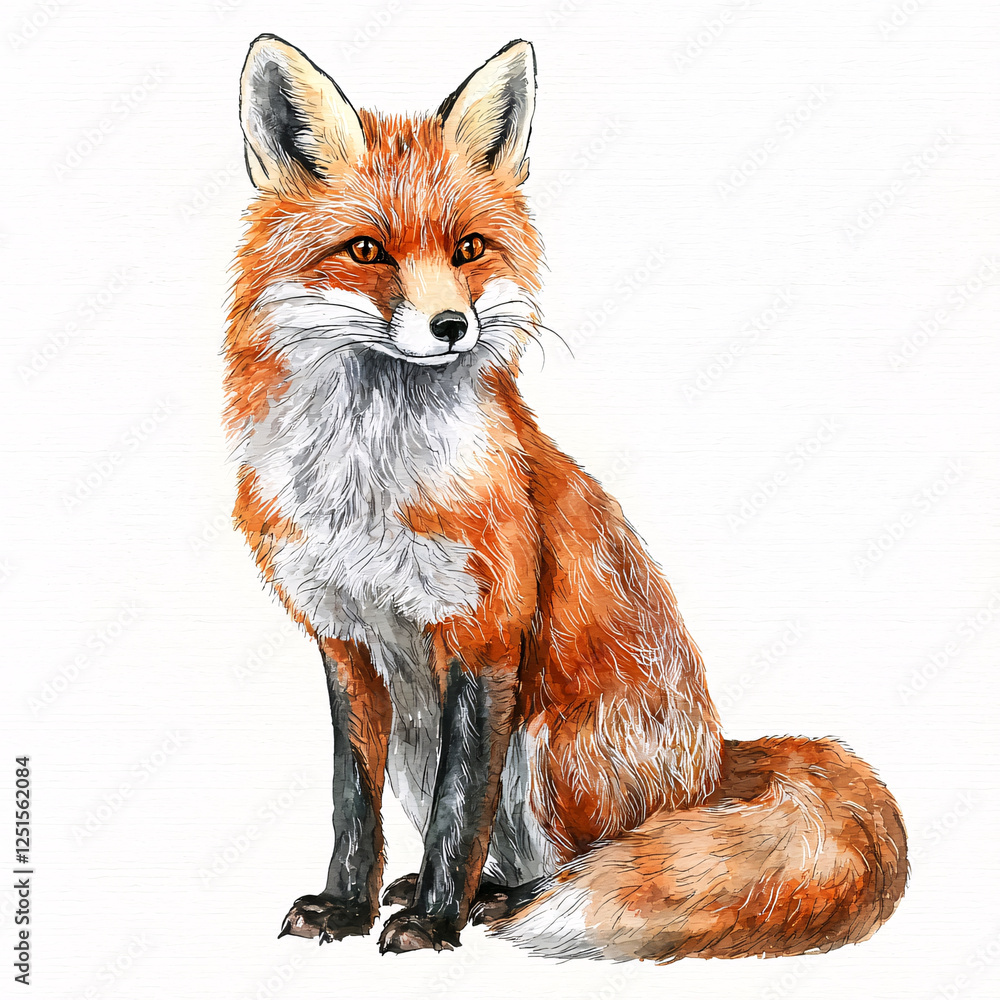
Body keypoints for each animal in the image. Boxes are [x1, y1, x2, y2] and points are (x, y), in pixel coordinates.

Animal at [224, 35, 908, 961]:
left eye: (469, 248)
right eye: (367, 251)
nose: (453, 327)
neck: (369, 483)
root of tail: (714, 767)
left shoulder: (486, 629)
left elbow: (461, 807)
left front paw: (433, 923)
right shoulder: (344, 639)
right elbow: (350, 805)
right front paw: (345, 907)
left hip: (547, 747)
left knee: (582, 858)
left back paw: (502, 901)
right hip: (418, 740)